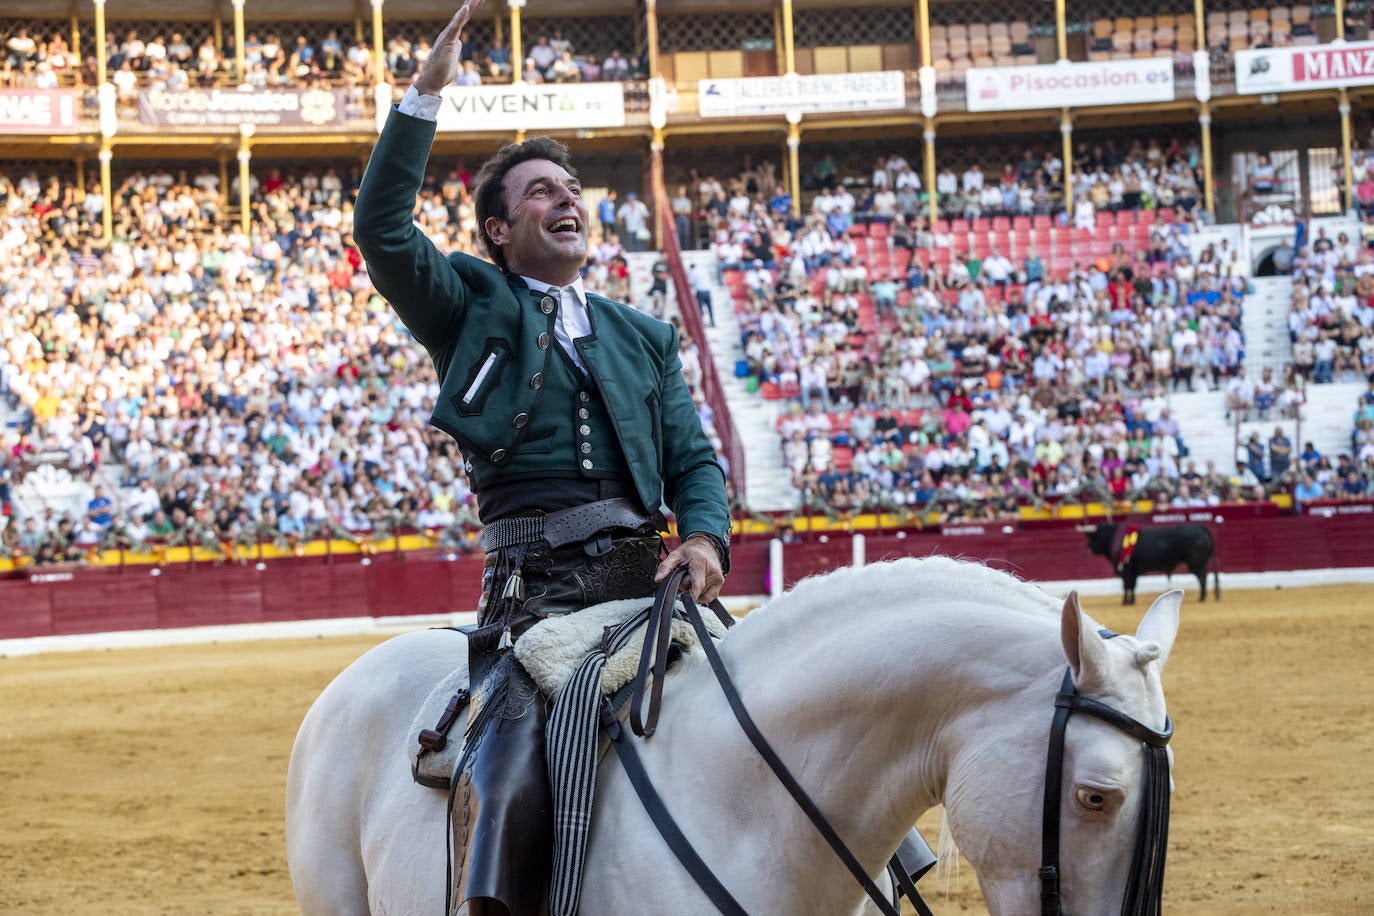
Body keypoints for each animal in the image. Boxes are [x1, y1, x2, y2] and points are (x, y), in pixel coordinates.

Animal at [1071, 527, 1225, 604]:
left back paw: (1202, 598)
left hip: (1196, 563)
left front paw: (1125, 602)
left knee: (1202, 577)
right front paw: (1131, 601)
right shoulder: (1133, 571)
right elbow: (1132, 586)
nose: (1089, 548)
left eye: (1093, 538)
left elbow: (1126, 585)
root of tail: (1202, 528)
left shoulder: (1126, 570)